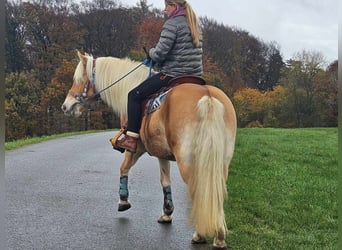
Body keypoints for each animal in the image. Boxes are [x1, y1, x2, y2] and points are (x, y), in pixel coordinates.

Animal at [61, 50, 236, 248]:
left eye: (78, 79)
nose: (65, 106)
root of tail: (207, 96)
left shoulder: (136, 147)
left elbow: (124, 168)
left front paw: (123, 200)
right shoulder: (162, 153)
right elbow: (165, 181)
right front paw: (167, 213)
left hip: (189, 163)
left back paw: (200, 234)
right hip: (220, 163)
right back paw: (219, 236)